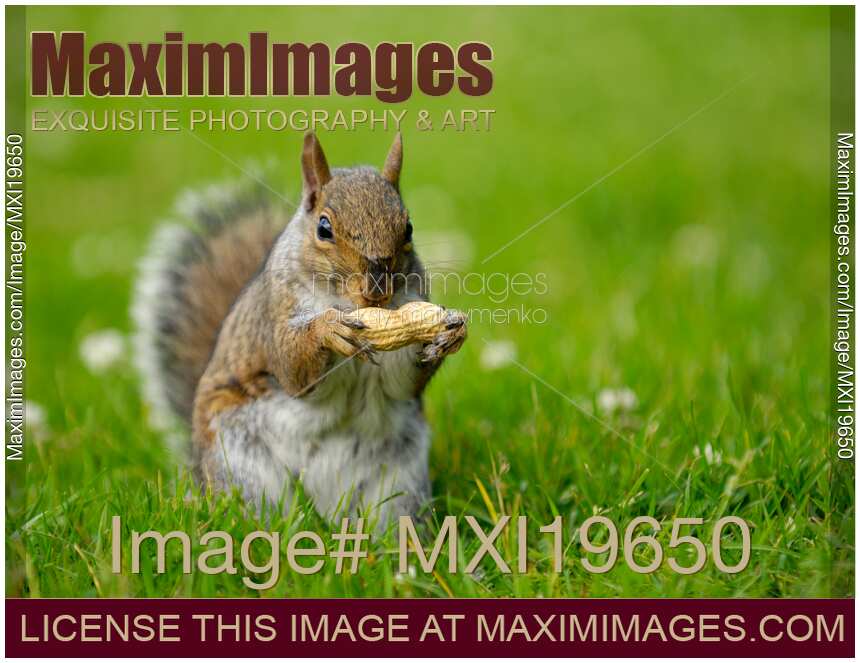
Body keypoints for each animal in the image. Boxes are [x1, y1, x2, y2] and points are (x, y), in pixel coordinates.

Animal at [131, 132, 467, 526]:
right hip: (242, 467)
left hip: (399, 487)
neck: (347, 304)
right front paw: (328, 330)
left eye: (408, 227)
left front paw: (446, 331)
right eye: (324, 228)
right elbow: (293, 368)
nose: (376, 289)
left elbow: (400, 381)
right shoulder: (275, 315)